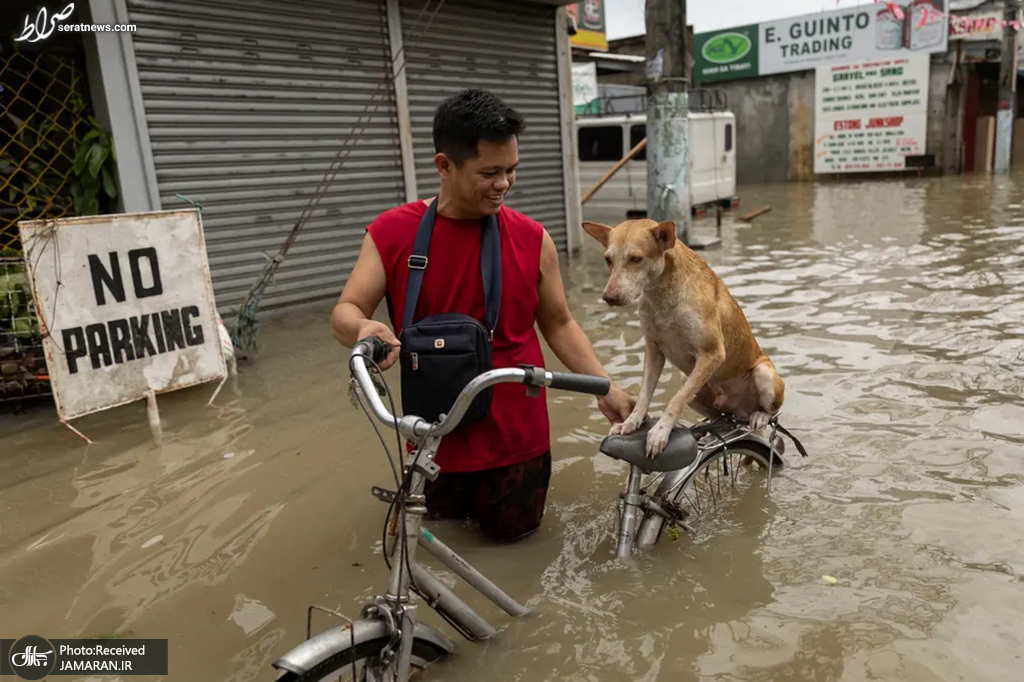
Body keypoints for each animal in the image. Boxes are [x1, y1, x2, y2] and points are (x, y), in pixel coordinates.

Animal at [585, 218, 782, 456]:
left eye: (636, 258)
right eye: (608, 259)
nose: (609, 297)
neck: (662, 295)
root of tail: (740, 412)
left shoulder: (713, 354)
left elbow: (675, 400)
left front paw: (660, 432)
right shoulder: (654, 350)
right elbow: (644, 394)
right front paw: (631, 422)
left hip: (763, 373)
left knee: (770, 411)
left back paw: (760, 416)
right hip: (689, 380)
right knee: (718, 415)